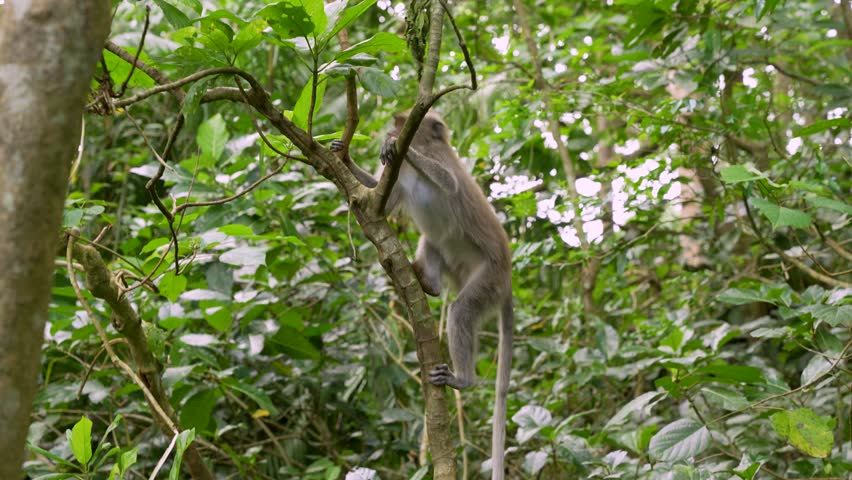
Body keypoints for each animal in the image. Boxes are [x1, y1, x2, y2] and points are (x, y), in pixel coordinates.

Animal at [331, 111, 513, 480]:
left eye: (403, 123)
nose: (393, 129)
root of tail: (507, 275)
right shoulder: (398, 178)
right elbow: (378, 199)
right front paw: (344, 155)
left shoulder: (440, 158)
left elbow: (449, 182)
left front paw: (396, 146)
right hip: (459, 263)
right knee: (433, 242)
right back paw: (426, 282)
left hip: (488, 278)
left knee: (461, 309)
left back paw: (463, 379)